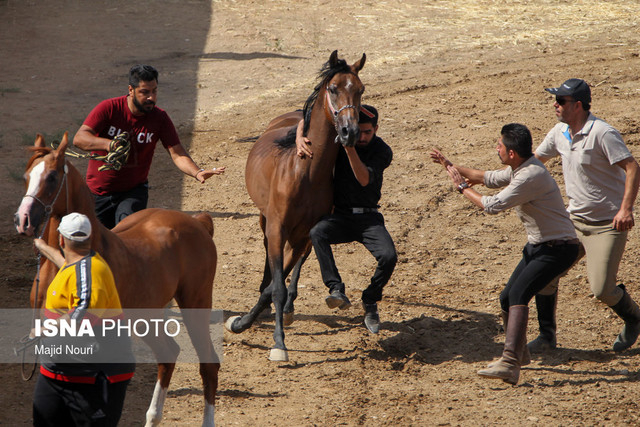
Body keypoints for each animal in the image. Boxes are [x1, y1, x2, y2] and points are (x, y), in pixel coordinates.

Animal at [14, 132, 220, 426]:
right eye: (26, 176)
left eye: (52, 177)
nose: (24, 220)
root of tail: (199, 223)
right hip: (146, 315)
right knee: (168, 354)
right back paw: (152, 416)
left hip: (196, 302)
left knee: (208, 364)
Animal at [225, 51, 364, 362]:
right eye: (333, 88)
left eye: (360, 90)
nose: (349, 132)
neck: (305, 173)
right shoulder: (277, 227)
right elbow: (274, 286)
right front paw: (274, 341)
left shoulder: (304, 234)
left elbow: (279, 283)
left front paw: (249, 321)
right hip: (265, 220)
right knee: (269, 257)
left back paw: (287, 308)